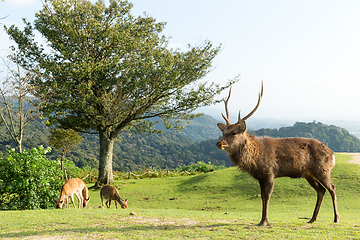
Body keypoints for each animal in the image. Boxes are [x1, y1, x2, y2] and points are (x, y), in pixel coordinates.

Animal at [217, 81, 340, 226]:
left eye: (234, 132)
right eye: (223, 132)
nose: (219, 143)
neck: (255, 159)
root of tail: (332, 154)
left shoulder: (270, 172)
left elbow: (267, 196)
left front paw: (265, 221)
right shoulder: (260, 177)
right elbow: (262, 197)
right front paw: (261, 220)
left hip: (323, 169)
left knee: (332, 188)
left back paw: (336, 218)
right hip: (308, 174)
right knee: (321, 190)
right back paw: (312, 219)